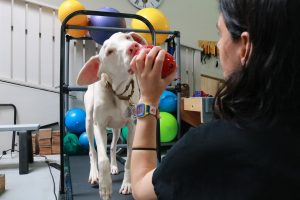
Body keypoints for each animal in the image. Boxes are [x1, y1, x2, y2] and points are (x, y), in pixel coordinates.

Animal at [76, 32, 146, 199]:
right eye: (109, 52)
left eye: (128, 38)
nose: (134, 46)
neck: (118, 92)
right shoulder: (99, 126)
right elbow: (102, 159)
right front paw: (105, 186)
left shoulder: (132, 126)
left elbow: (128, 159)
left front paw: (127, 184)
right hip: (89, 123)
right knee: (92, 151)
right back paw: (95, 174)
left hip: (117, 128)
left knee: (113, 146)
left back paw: (114, 165)